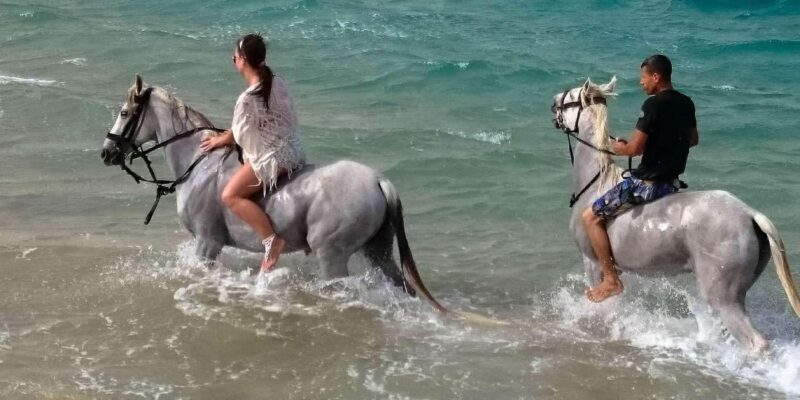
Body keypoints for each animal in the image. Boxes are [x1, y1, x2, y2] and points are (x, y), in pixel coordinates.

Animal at [100, 74, 448, 314]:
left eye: (125, 112)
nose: (106, 153)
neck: (199, 163)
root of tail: (378, 181)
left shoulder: (207, 243)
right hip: (377, 252)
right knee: (401, 286)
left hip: (332, 255)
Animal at [550, 76, 800, 354]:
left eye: (571, 97)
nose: (552, 102)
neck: (597, 182)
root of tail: (749, 214)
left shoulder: (592, 262)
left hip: (722, 296)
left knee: (756, 343)